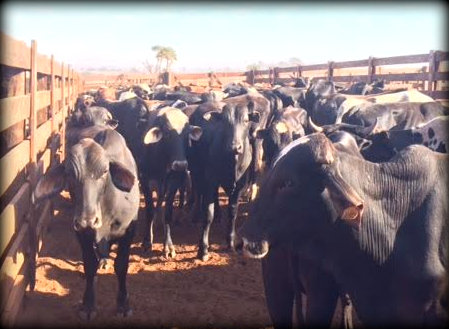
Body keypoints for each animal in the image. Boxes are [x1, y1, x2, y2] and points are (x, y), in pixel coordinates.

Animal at [33, 125, 139, 318]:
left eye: (105, 171)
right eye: (69, 173)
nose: (87, 219)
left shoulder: (129, 231)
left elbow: (121, 266)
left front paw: (123, 304)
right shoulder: (82, 233)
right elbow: (90, 265)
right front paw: (88, 304)